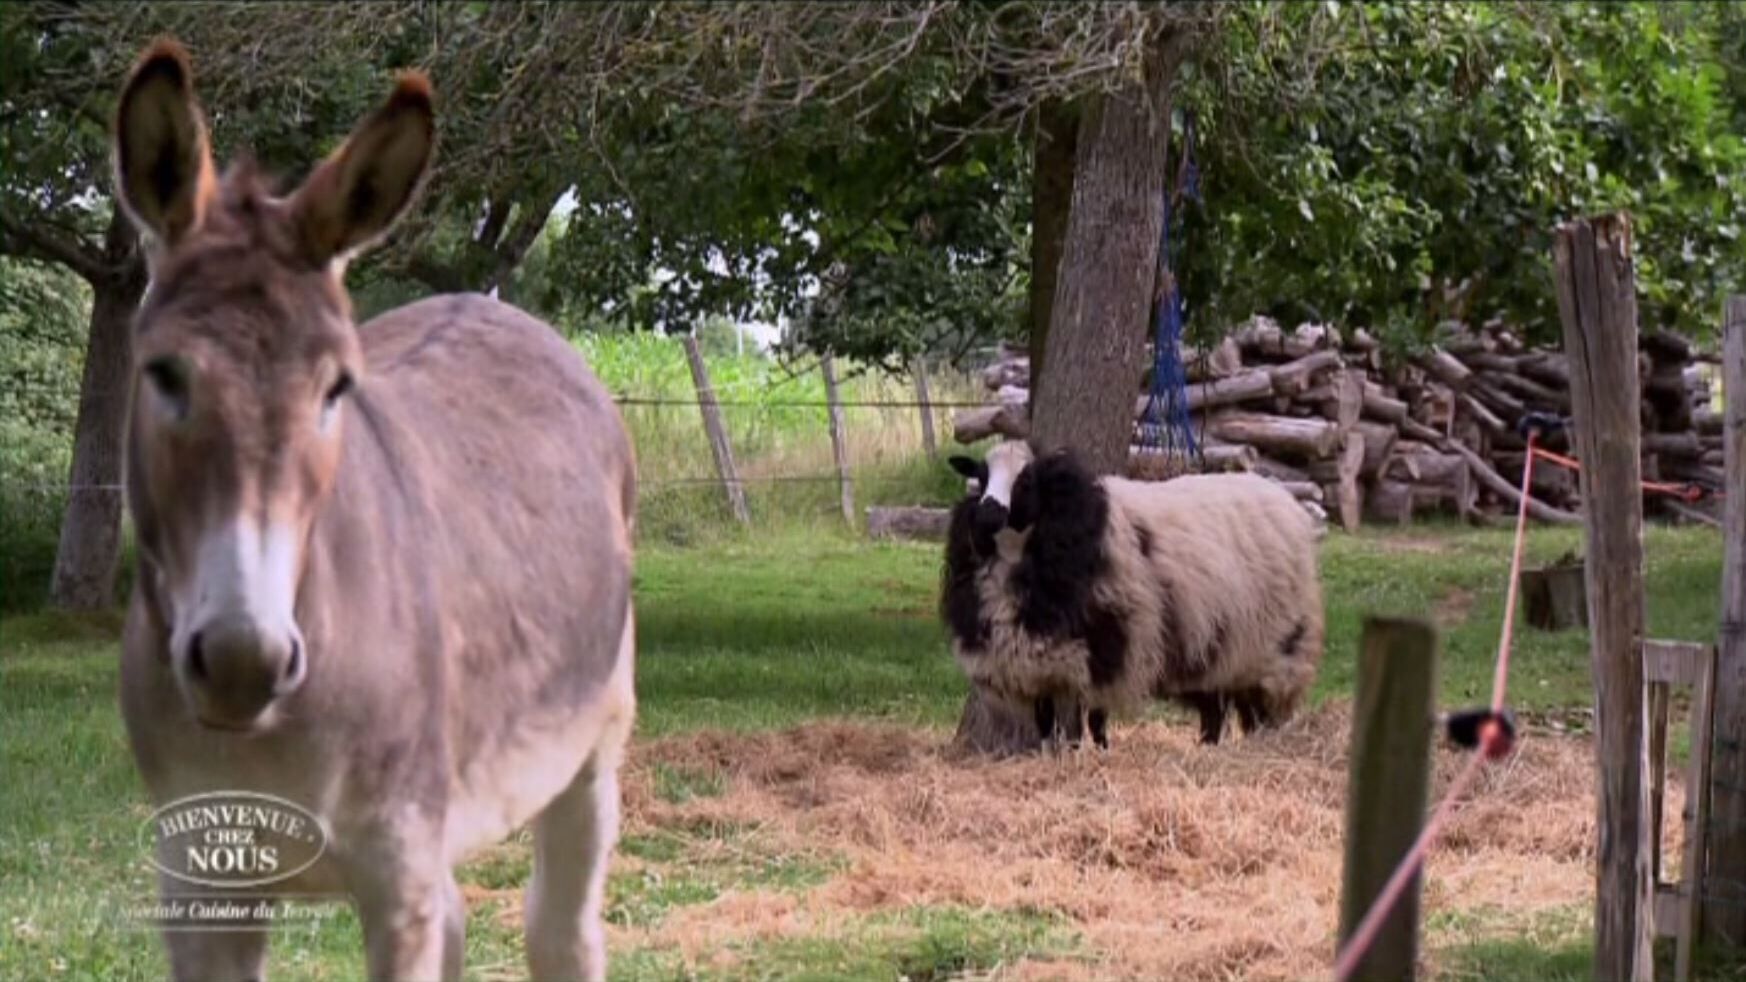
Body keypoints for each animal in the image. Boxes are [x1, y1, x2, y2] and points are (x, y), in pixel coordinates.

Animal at [941, 440, 1323, 748]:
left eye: (1026, 480)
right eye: (980, 477)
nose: (986, 516)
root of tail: (1283, 497)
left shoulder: (1101, 651)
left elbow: (1089, 720)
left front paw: (1091, 752)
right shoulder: (1036, 665)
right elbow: (1046, 721)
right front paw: (1051, 754)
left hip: (1276, 649)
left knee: (1263, 709)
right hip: (1216, 649)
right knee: (1214, 710)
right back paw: (1208, 749)